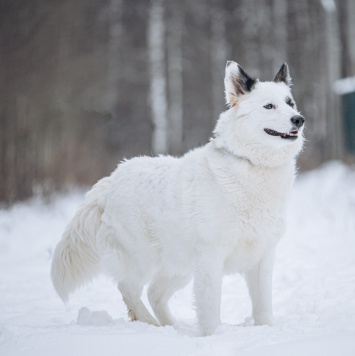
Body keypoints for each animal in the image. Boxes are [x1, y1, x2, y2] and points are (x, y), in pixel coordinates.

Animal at [50, 61, 306, 336]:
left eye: (290, 102)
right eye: (269, 106)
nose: (299, 119)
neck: (252, 164)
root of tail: (111, 179)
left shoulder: (262, 258)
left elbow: (263, 307)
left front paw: (265, 330)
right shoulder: (210, 259)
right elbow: (210, 307)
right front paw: (212, 336)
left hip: (179, 266)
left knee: (154, 293)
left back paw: (172, 326)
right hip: (141, 258)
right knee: (128, 288)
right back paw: (150, 323)